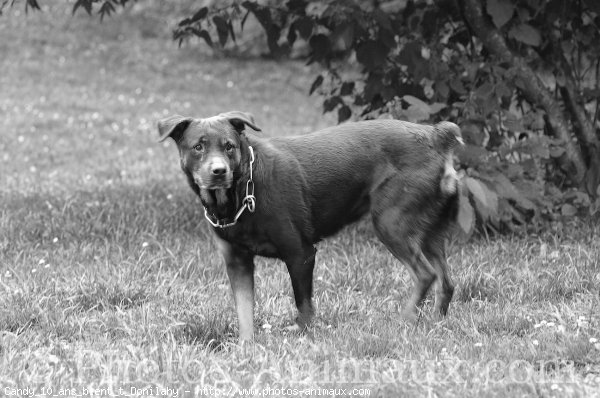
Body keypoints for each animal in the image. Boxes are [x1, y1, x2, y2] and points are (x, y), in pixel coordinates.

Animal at [157, 110, 462, 340]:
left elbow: (303, 305)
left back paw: (404, 320)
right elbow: (244, 311)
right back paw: (435, 324)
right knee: (446, 281)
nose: (218, 171)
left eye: (229, 146)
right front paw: (246, 346)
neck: (241, 191)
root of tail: (436, 136)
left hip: (391, 222)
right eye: (198, 147)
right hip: (430, 232)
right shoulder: (237, 261)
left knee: (425, 274)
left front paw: (304, 335)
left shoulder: (300, 254)